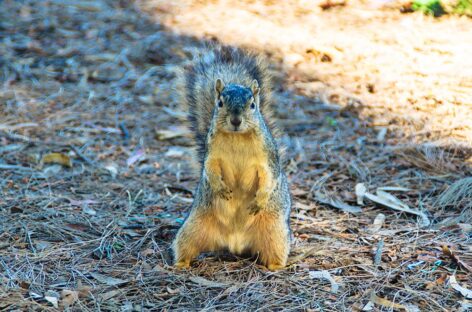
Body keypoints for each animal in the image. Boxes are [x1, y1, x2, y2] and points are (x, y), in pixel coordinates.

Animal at [173, 45, 292, 270]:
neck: (237, 137)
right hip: (192, 228)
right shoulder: (212, 154)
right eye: (220, 103)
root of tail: (235, 242)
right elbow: (209, 169)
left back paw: (276, 267)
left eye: (252, 105)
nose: (236, 120)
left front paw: (259, 200)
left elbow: (269, 177)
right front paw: (221, 189)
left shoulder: (267, 159)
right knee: (185, 246)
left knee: (274, 251)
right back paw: (180, 264)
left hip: (276, 233)